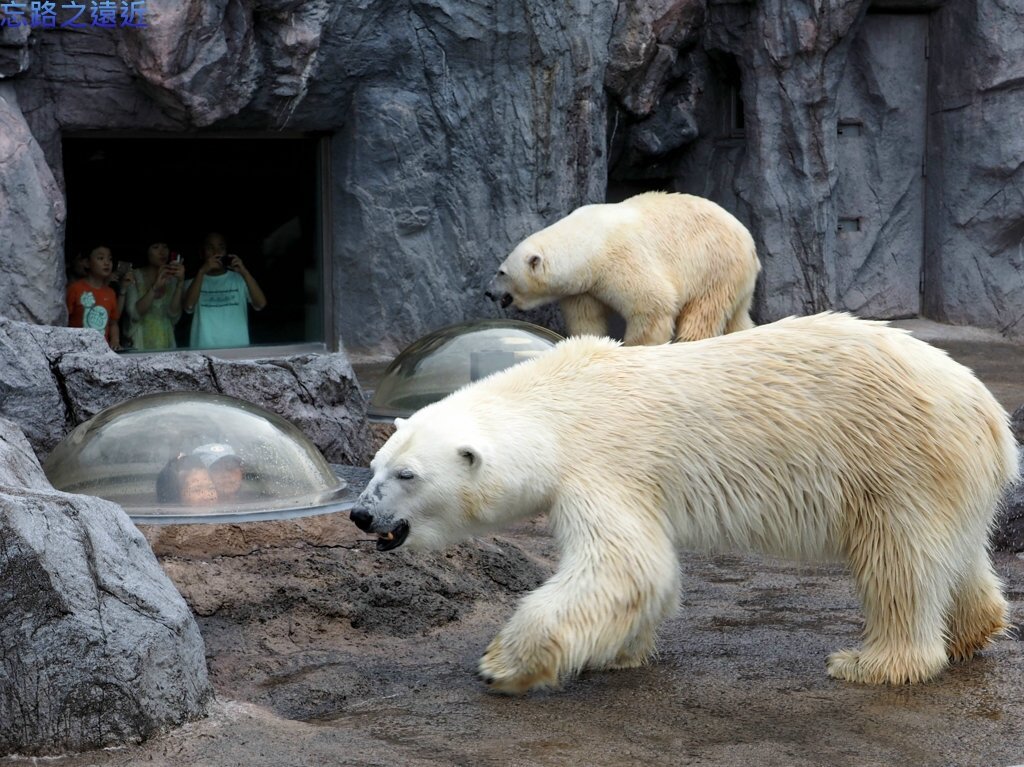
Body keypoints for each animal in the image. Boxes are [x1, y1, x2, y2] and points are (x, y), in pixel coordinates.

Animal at [350, 313, 1015, 692]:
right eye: (375, 466)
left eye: (407, 475)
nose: (361, 514)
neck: (557, 402)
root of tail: (988, 411)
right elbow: (645, 575)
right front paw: (618, 653)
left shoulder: (603, 462)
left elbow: (624, 567)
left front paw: (501, 665)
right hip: (943, 472)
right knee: (954, 551)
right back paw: (972, 630)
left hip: (894, 458)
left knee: (897, 560)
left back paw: (871, 662)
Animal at [481, 191, 761, 344]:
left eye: (501, 272)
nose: (488, 292)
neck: (588, 243)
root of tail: (749, 242)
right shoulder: (583, 288)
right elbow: (586, 318)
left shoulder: (622, 258)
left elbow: (653, 303)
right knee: (737, 316)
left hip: (714, 265)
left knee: (703, 312)